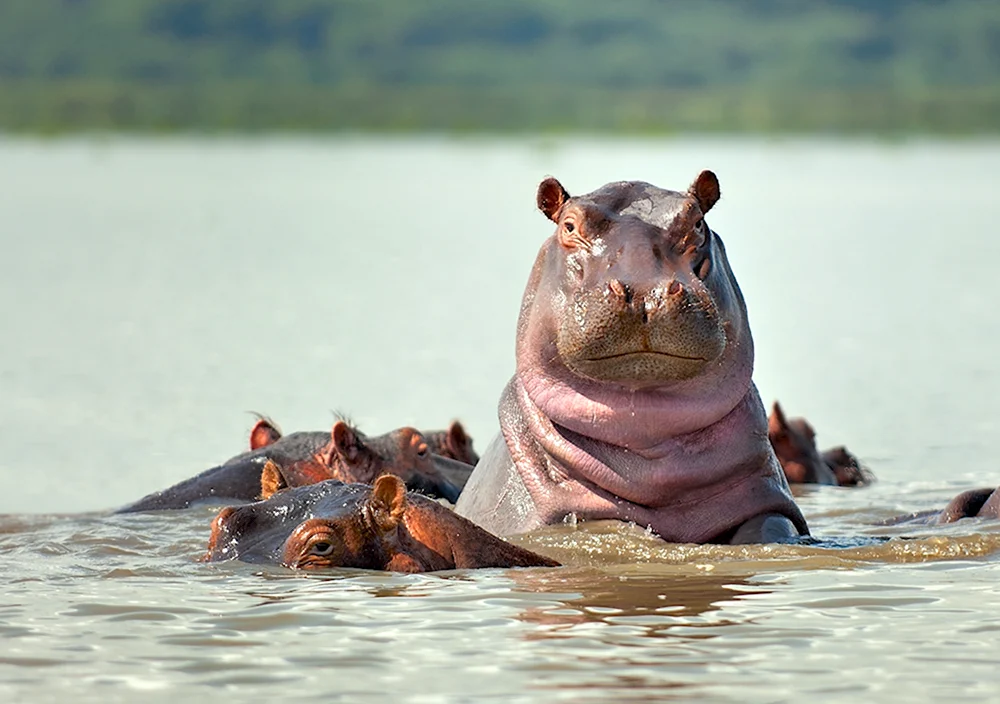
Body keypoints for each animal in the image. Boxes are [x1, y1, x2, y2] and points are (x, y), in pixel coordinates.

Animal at [458, 172, 808, 544]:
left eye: (698, 222)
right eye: (569, 225)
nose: (644, 291)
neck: (648, 442)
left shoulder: (769, 499)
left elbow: (770, 526)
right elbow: (615, 525)